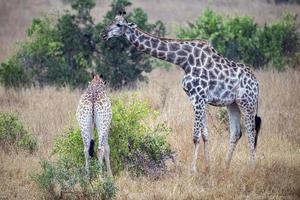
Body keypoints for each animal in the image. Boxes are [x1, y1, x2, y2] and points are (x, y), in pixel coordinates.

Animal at [101, 11, 260, 173]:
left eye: (119, 24)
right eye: (111, 21)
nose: (103, 34)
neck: (184, 61)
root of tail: (256, 83)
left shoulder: (198, 97)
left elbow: (196, 136)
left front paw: (193, 170)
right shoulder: (198, 98)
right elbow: (205, 134)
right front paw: (208, 166)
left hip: (247, 102)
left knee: (251, 131)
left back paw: (252, 167)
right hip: (232, 104)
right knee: (236, 133)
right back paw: (226, 166)